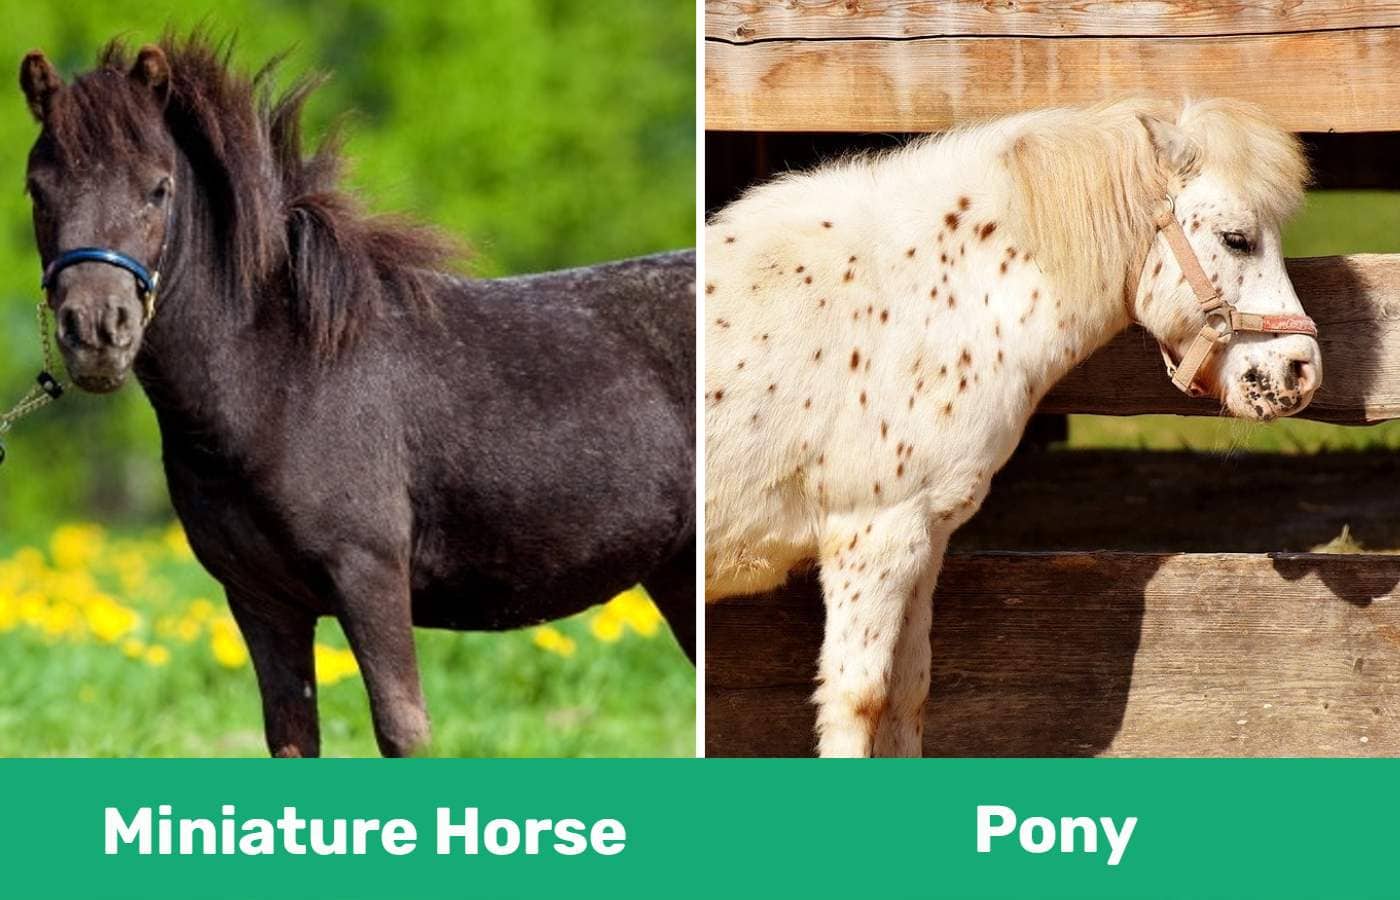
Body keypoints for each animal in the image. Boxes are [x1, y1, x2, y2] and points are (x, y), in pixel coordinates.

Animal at [18, 35, 696, 757]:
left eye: (158, 188)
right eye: (38, 187)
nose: (97, 330)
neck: (285, 376)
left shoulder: (369, 577)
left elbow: (403, 728)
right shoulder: (260, 601)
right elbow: (292, 737)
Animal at [704, 99, 1320, 757]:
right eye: (1238, 239)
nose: (1302, 370)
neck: (926, 301)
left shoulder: (924, 542)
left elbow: (908, 693)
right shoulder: (872, 537)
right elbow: (859, 703)